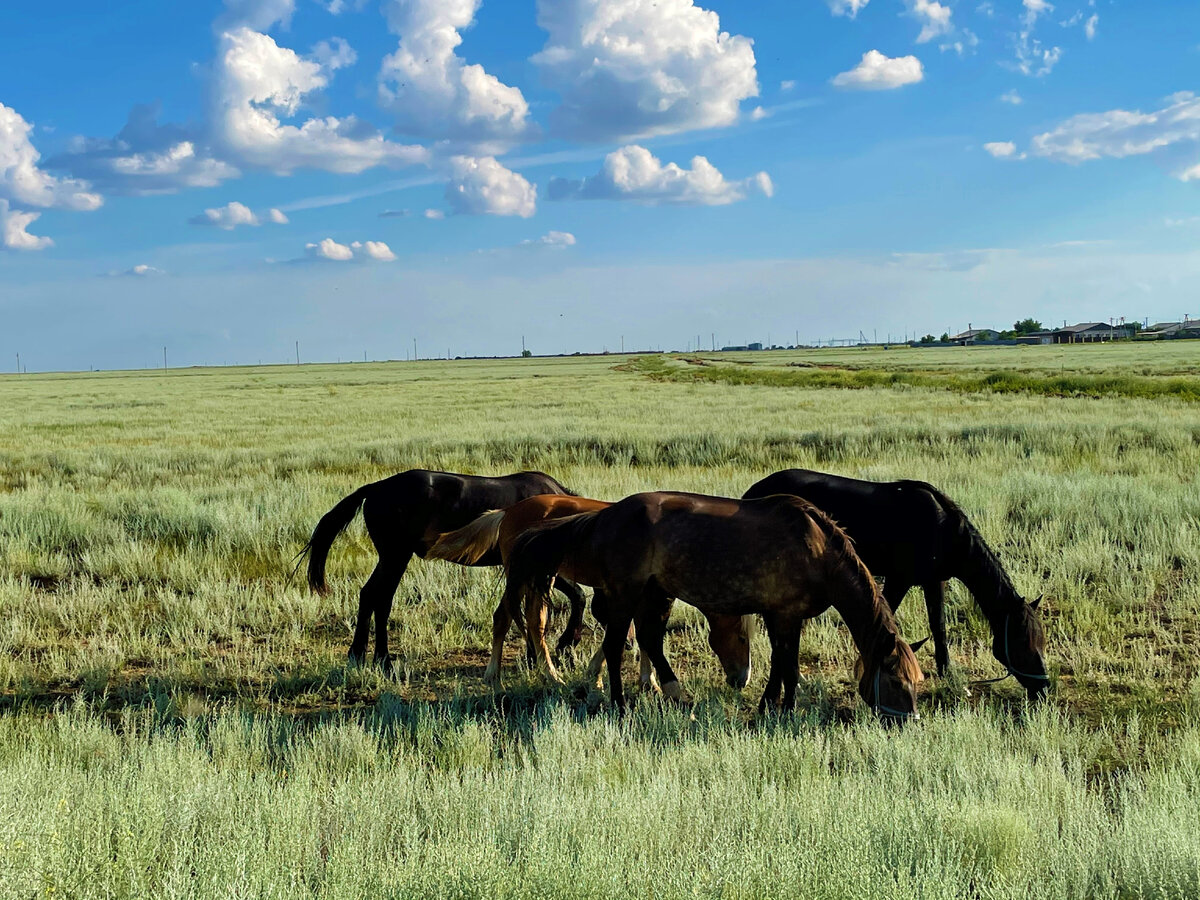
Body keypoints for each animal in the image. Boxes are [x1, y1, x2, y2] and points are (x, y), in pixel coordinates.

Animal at [302, 472, 588, 672]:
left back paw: (364, 656)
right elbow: (574, 598)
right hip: (396, 556)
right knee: (380, 598)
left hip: (392, 558)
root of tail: (375, 488)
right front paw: (565, 644)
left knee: (372, 596)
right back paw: (379, 659)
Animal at [427, 496, 748, 696]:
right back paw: (503, 676)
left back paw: (546, 673)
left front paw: (645, 681)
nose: (742, 679)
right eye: (743, 638)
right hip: (525, 577)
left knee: (531, 621)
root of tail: (507, 511)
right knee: (508, 618)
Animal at [501, 489, 921, 724]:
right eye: (896, 680)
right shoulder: (783, 614)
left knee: (650, 640)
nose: (909, 721)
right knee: (617, 644)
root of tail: (605, 515)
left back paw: (676, 695)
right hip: (625, 593)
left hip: (655, 593)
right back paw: (620, 704)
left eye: (918, 682)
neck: (816, 548)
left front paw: (774, 706)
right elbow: (785, 665)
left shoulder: (787, 616)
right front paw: (780, 709)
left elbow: (784, 663)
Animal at [739, 468, 1051, 700]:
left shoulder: (934, 581)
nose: (1044, 688)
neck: (943, 528)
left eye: (1041, 641)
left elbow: (938, 626)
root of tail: (751, 492)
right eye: (1022, 644)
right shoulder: (899, 580)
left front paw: (948, 673)